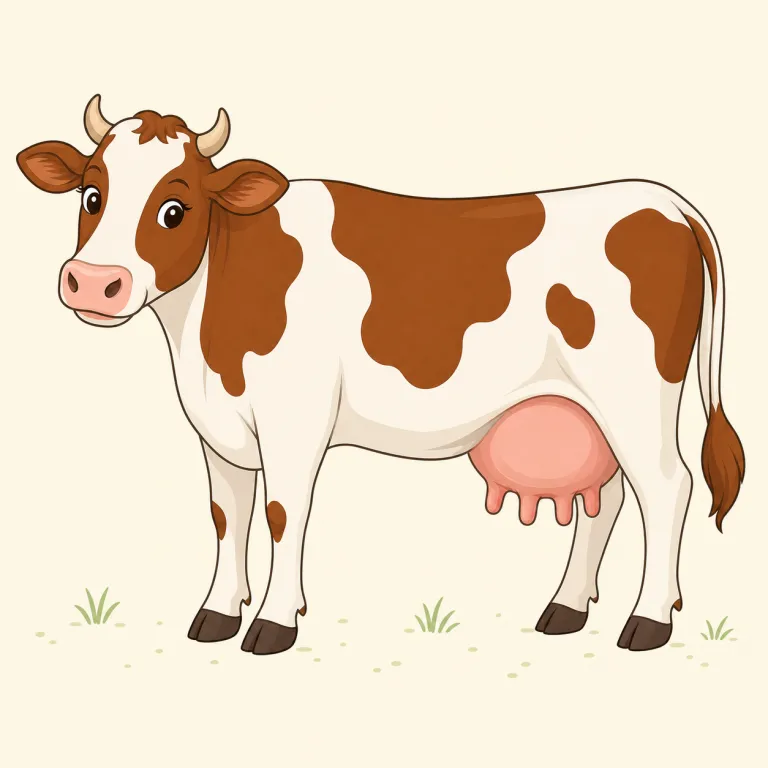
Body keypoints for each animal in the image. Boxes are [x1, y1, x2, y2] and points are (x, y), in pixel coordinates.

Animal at [16, 95, 745, 655]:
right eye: (91, 194)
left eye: (176, 209)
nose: (93, 282)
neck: (204, 335)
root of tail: (663, 201)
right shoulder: (220, 428)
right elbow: (227, 515)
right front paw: (218, 614)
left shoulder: (295, 420)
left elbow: (281, 514)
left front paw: (274, 623)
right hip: (591, 407)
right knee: (612, 497)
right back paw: (565, 608)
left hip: (638, 396)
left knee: (668, 488)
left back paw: (647, 621)